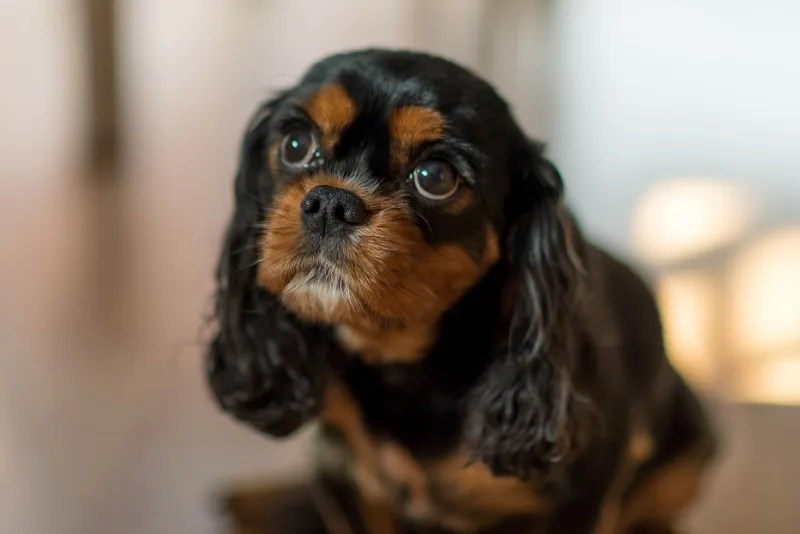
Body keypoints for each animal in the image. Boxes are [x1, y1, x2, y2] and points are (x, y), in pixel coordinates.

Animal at [205, 49, 712, 534]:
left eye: (435, 176)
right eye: (295, 145)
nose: (330, 202)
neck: (405, 366)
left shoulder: (583, 497)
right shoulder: (343, 477)